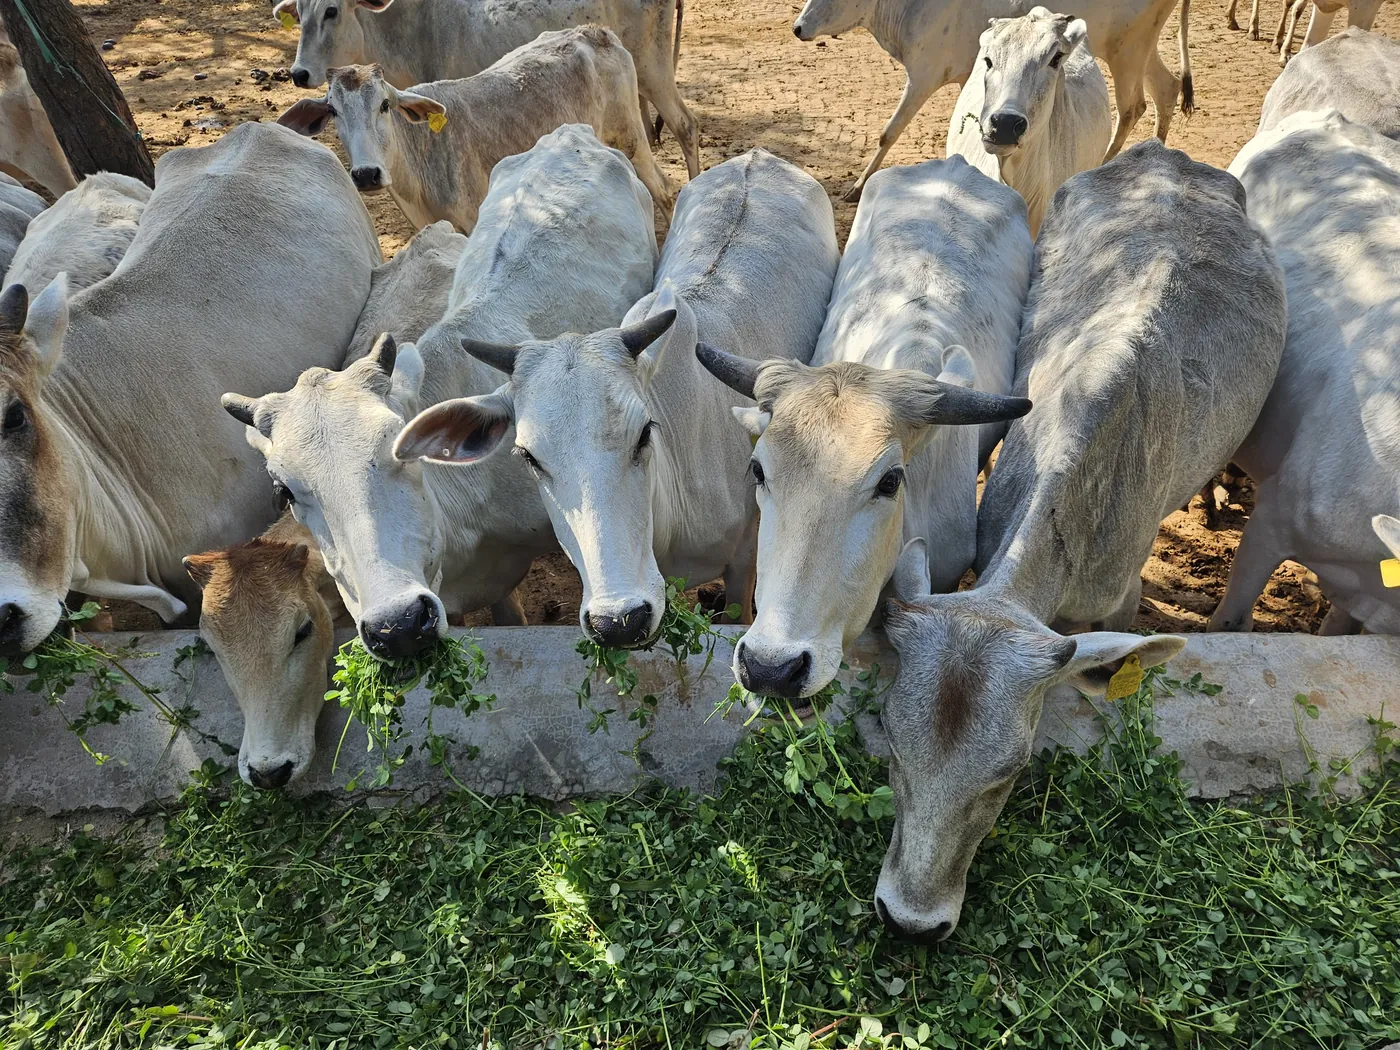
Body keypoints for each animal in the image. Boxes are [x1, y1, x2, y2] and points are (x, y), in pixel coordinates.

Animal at [277, 29, 672, 233]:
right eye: (333, 110)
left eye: (385, 105)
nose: (366, 174)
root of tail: (594, 32)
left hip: (632, 140)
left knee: (664, 190)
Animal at [791, 0, 1193, 201]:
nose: (798, 27)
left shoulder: (923, 75)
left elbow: (888, 132)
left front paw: (857, 187)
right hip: (1138, 48)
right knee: (1167, 88)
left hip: (1128, 50)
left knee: (1133, 105)